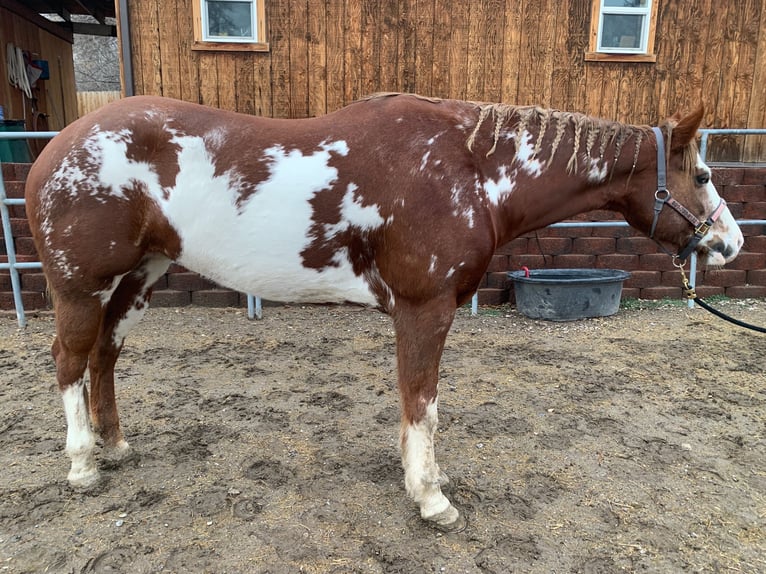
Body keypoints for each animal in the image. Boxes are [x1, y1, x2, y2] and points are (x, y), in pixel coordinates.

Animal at [24, 93, 743, 530]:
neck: (467, 168)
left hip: (138, 277)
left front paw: (421, 476)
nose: (731, 243)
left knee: (105, 354)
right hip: (80, 286)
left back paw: (114, 446)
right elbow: (422, 400)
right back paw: (84, 464)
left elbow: (418, 406)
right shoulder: (425, 310)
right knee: (69, 360)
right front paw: (431, 498)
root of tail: (56, 148)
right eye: (704, 176)